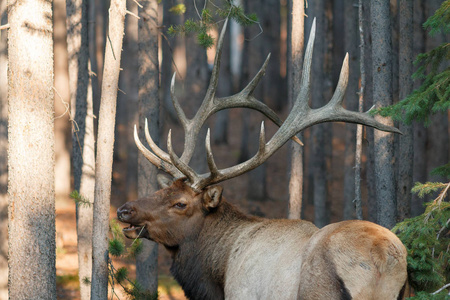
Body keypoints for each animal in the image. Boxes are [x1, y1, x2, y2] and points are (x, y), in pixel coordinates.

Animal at [117, 19, 408, 300]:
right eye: (161, 190)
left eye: (180, 203)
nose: (123, 210)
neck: (218, 273)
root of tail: (383, 262)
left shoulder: (241, 293)